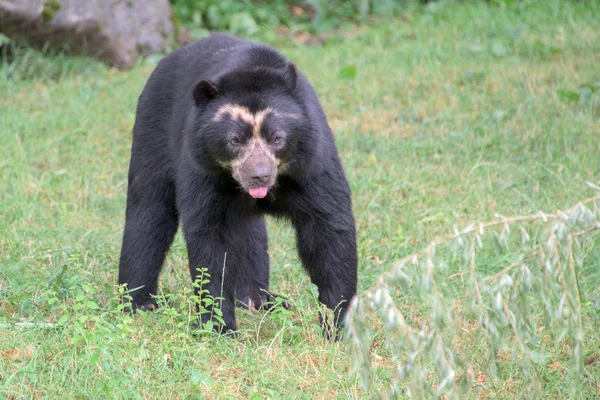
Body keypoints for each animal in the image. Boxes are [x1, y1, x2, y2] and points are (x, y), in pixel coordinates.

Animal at [119, 32, 358, 338]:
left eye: (277, 138)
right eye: (234, 140)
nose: (259, 175)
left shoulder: (313, 161)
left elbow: (328, 227)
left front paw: (337, 325)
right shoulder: (202, 167)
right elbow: (209, 238)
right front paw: (219, 327)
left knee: (250, 234)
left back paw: (259, 300)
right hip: (152, 131)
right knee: (149, 211)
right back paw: (138, 303)